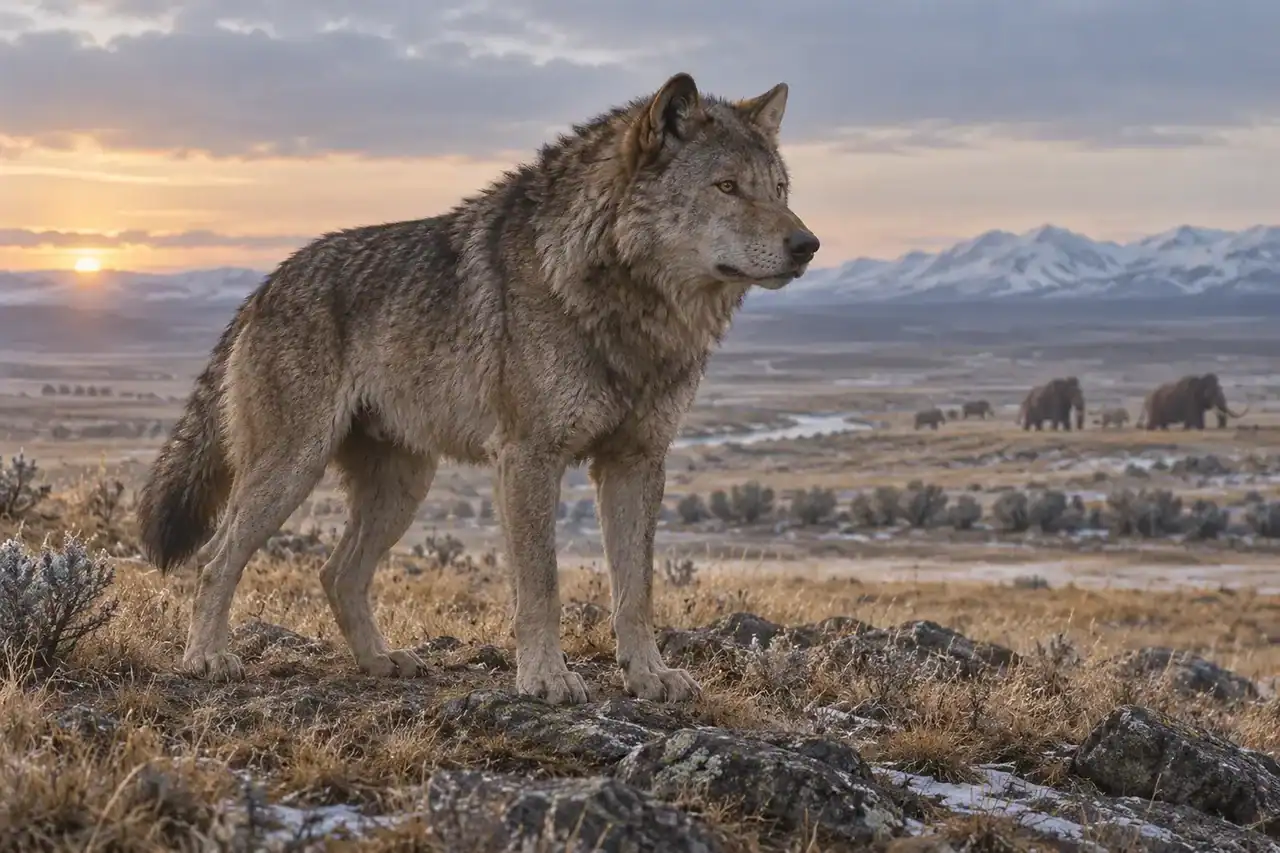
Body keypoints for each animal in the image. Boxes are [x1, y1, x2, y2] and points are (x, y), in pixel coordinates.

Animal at [135, 72, 820, 706]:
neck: (625, 302)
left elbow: (635, 589)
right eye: (727, 187)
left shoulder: (636, 461)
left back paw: (381, 661)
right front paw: (546, 678)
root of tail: (265, 285)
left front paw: (649, 675)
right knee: (216, 559)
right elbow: (542, 585)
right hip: (292, 469)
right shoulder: (529, 458)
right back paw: (207, 659)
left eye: (780, 190)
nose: (807, 245)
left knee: (336, 572)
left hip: (404, 486)